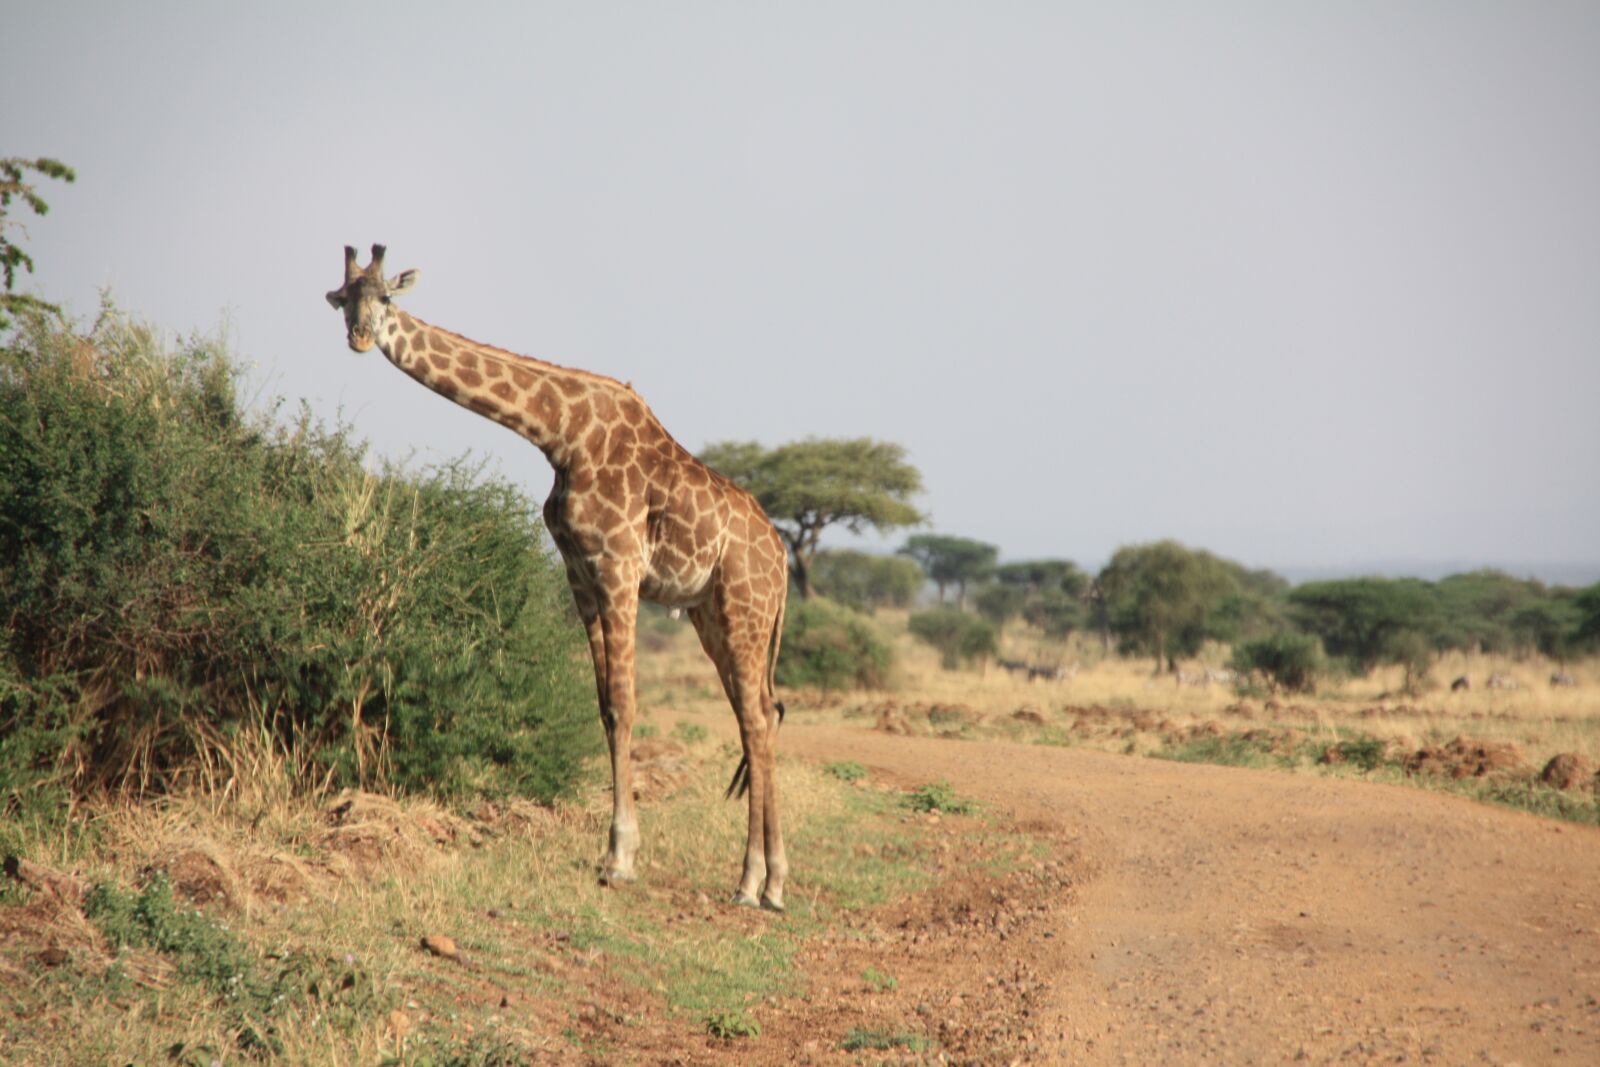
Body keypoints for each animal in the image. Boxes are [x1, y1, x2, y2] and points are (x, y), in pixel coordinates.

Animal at [326, 245, 791, 910]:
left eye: (386, 297)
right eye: (345, 299)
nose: (361, 337)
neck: (559, 434)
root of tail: (781, 558)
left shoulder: (619, 566)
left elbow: (625, 702)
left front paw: (620, 859)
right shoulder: (580, 574)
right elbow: (603, 707)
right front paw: (613, 851)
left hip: (742, 606)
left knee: (755, 718)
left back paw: (752, 882)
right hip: (713, 615)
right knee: (761, 715)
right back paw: (773, 881)